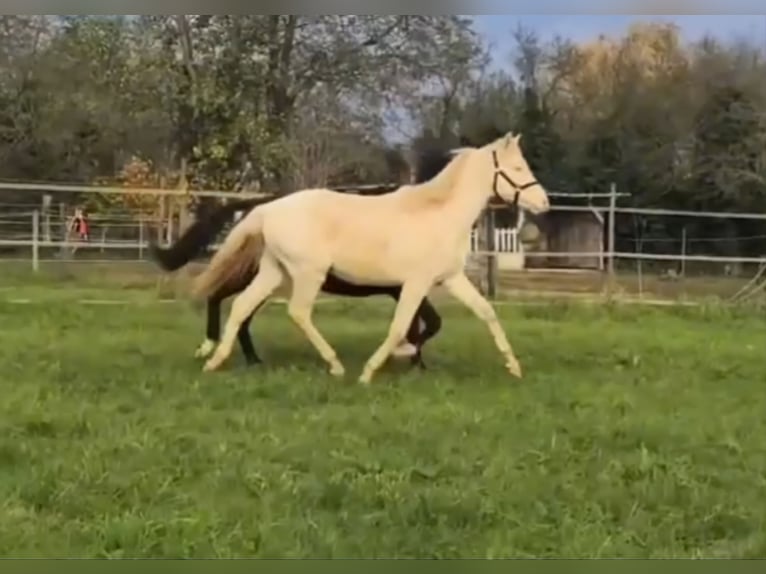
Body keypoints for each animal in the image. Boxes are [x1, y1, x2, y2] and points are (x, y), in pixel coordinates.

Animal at [192, 134, 552, 388]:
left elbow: (486, 312)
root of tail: (266, 209)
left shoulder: (451, 278)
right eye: (517, 168)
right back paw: (335, 365)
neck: (439, 214)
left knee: (241, 306)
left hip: (274, 271)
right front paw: (375, 369)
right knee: (297, 312)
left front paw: (513, 366)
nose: (544, 203)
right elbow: (401, 327)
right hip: (308, 273)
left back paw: (215, 361)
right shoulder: (415, 283)